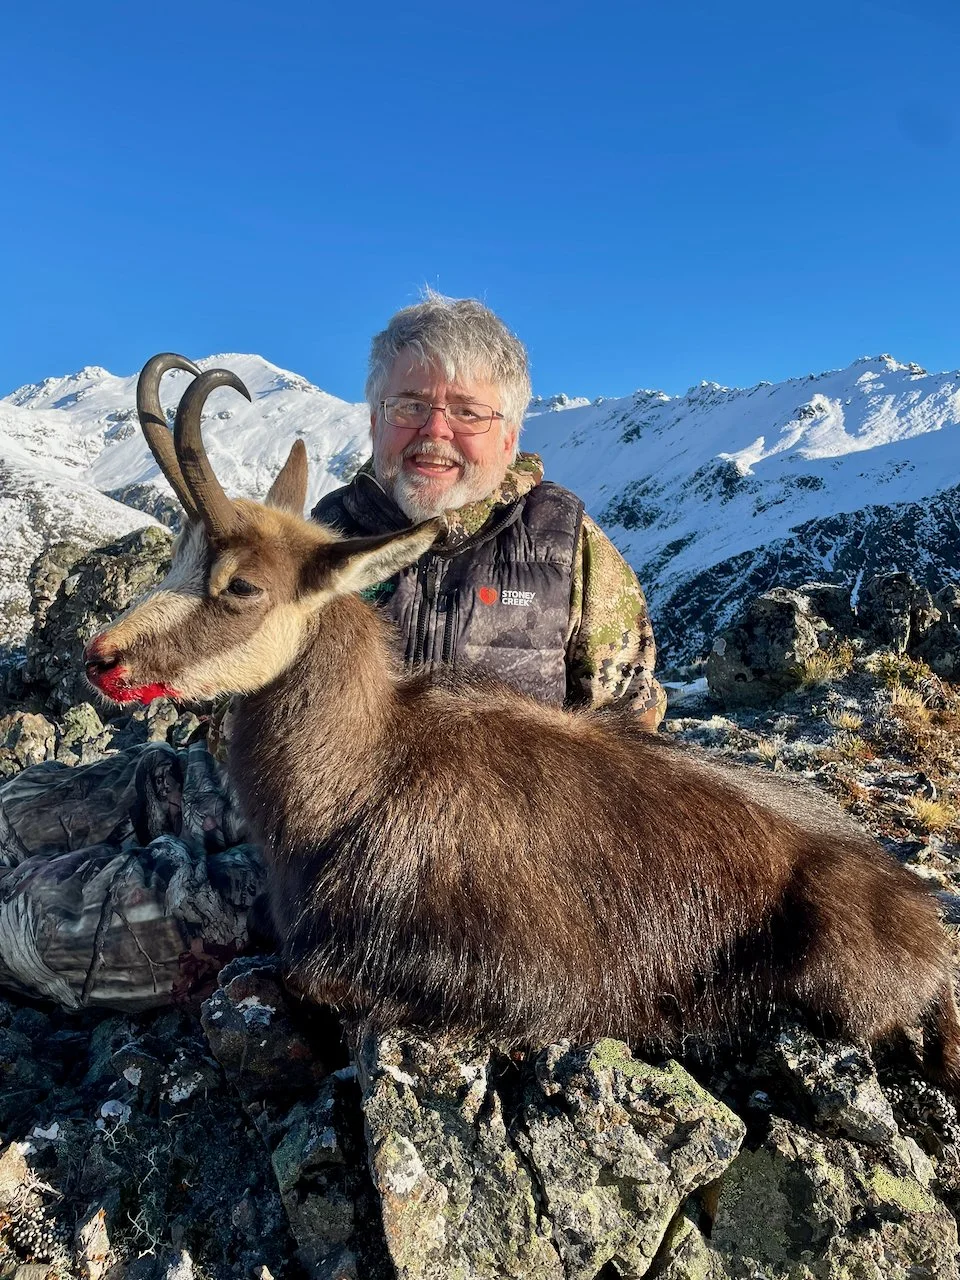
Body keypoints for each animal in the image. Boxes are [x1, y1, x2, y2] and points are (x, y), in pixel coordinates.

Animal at [84, 354, 960, 1090]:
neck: (360, 773)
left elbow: (314, 978)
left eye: (240, 586)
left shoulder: (475, 962)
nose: (100, 657)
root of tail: (923, 924)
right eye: (178, 557)